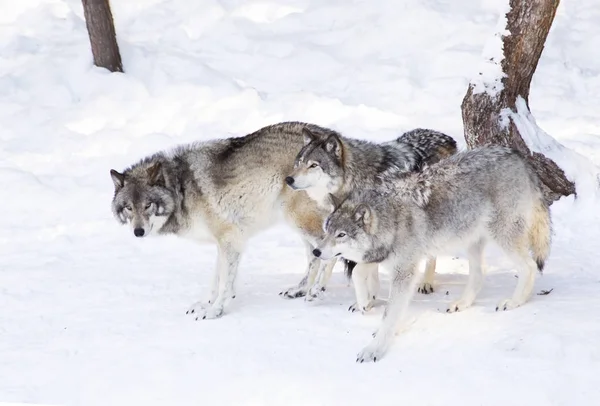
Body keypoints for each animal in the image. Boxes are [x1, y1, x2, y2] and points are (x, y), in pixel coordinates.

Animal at [110, 122, 350, 318]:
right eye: (129, 207)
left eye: (148, 205)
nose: (138, 232)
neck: (181, 189)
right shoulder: (223, 241)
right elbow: (217, 278)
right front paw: (206, 304)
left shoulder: (230, 239)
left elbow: (225, 282)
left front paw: (215, 310)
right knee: (313, 256)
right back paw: (299, 289)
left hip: (300, 220)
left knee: (329, 254)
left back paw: (316, 291)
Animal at [284, 127, 458, 308]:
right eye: (299, 162)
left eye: (313, 165)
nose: (288, 179)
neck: (355, 181)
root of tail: (447, 138)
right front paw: (369, 301)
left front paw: (365, 302)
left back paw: (426, 283)